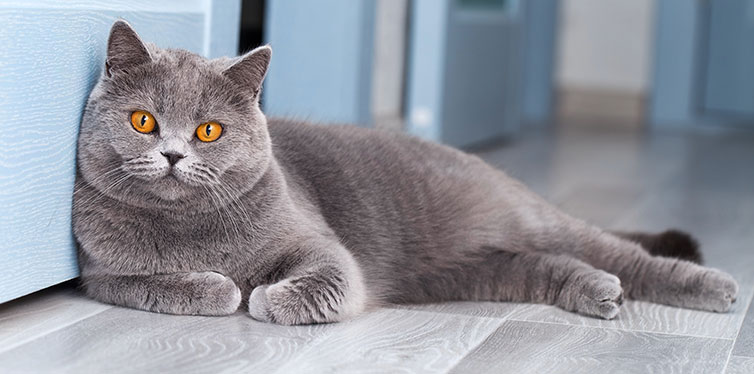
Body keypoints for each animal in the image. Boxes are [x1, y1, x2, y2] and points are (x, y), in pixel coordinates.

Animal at [73, 21, 736, 324]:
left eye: (209, 131)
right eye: (143, 121)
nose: (173, 154)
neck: (192, 231)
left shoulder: (322, 247)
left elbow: (321, 279)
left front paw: (264, 296)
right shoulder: (102, 275)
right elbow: (161, 285)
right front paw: (224, 287)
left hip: (531, 220)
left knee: (621, 253)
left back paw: (715, 288)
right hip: (472, 272)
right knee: (551, 266)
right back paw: (599, 292)